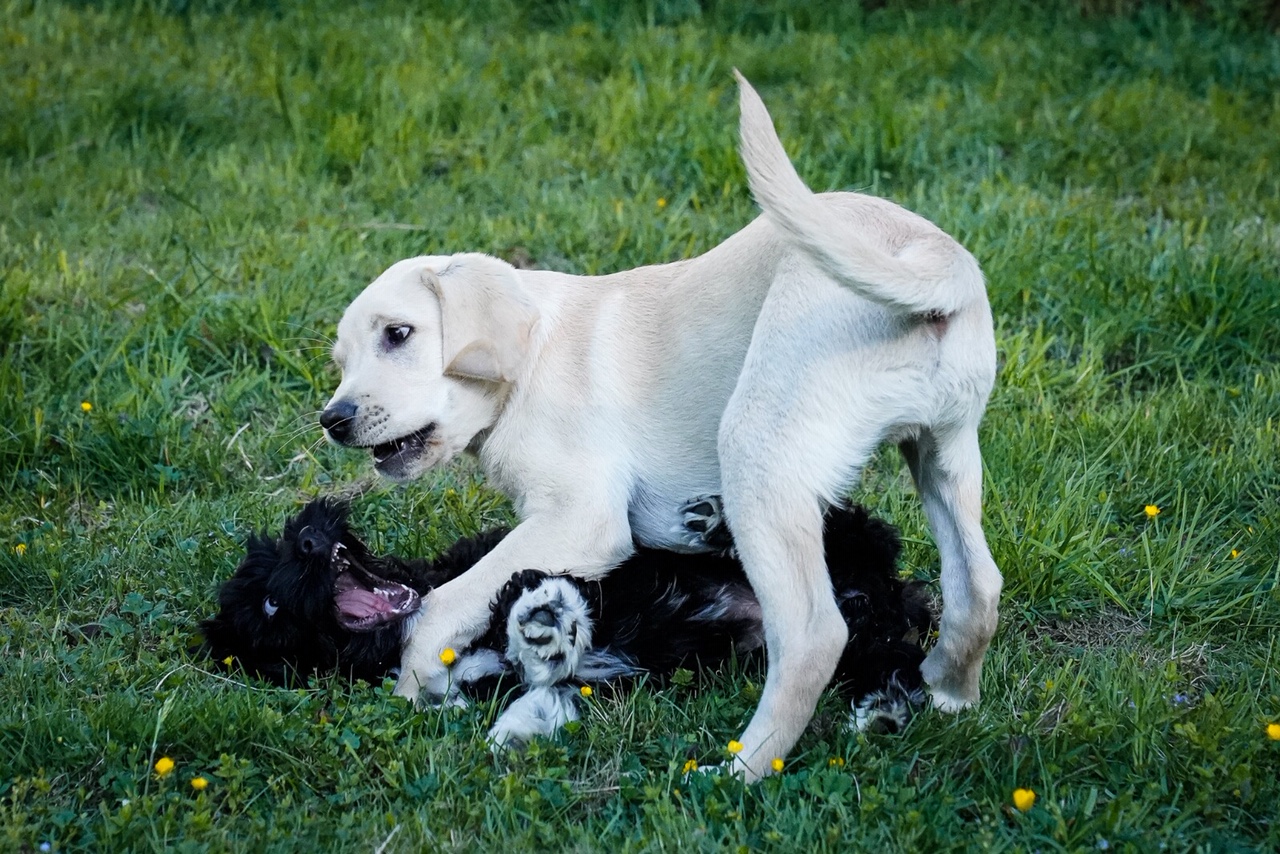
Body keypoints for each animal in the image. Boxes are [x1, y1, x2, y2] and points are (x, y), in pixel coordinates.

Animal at [204, 496, 936, 742]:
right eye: (269, 607)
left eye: (284, 549)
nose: (310, 536)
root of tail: (875, 592)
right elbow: (539, 685)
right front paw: (524, 710)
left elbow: (528, 588)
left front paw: (543, 617)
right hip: (853, 630)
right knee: (885, 652)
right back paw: (884, 709)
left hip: (842, 547)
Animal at [317, 73, 998, 783]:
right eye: (340, 361)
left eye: (399, 335)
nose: (332, 421)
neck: (531, 359)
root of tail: (928, 256)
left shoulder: (581, 519)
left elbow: (445, 603)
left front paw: (416, 687)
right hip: (944, 453)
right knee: (976, 588)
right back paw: (945, 694)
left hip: (758, 449)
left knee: (815, 634)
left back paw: (738, 771)